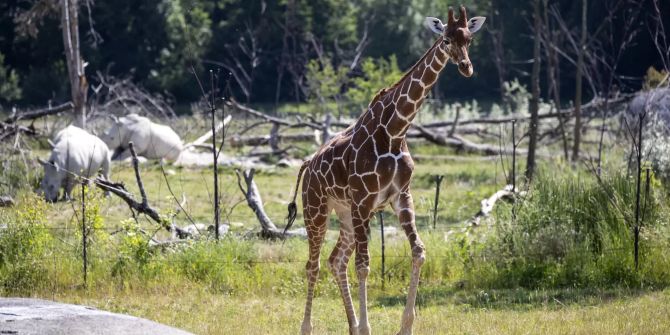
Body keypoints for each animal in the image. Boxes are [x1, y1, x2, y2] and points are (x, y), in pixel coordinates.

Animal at [284, 5, 488, 335]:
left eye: (469, 38)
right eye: (446, 39)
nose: (466, 67)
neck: (395, 130)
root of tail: (307, 164)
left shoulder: (400, 196)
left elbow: (418, 251)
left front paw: (405, 326)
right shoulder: (365, 199)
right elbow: (364, 265)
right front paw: (368, 327)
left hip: (346, 213)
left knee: (335, 260)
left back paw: (352, 326)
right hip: (316, 209)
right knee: (313, 264)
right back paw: (308, 327)